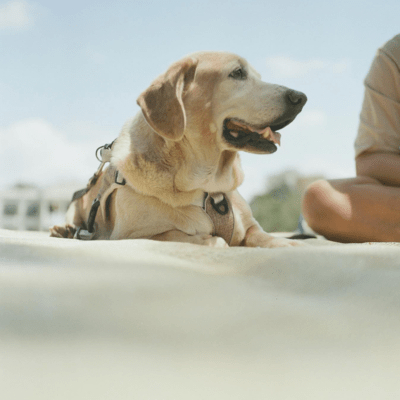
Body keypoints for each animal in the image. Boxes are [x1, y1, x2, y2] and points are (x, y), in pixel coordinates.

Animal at [50, 50, 306, 247]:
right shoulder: (133, 235)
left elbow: (263, 236)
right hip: (75, 205)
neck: (208, 186)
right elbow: (183, 235)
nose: (301, 97)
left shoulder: (251, 227)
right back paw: (64, 230)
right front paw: (210, 239)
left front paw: (287, 242)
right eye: (237, 73)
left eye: (258, 76)